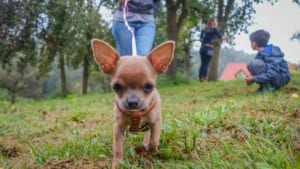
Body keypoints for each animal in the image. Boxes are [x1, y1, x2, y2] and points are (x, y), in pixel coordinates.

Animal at [90, 39, 175, 168]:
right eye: (116, 86)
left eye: (149, 86)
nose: (132, 102)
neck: (135, 113)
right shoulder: (118, 127)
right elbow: (118, 148)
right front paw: (117, 164)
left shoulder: (156, 122)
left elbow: (154, 141)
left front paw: (148, 147)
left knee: (148, 133)